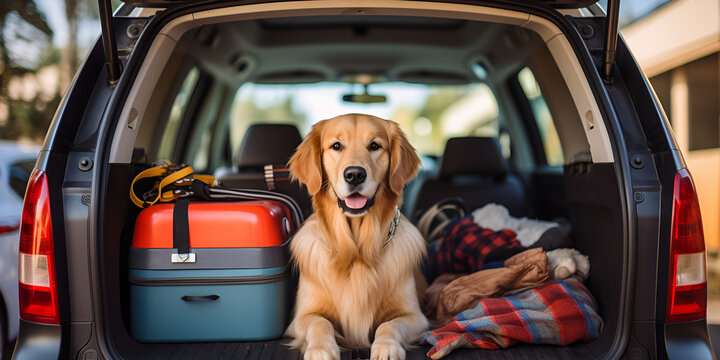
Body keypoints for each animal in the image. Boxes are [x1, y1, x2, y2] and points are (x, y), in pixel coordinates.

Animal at [286, 114, 428, 358]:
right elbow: (319, 322)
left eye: (375, 146)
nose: (354, 175)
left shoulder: (415, 317)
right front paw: (322, 349)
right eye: (336, 146)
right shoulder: (301, 317)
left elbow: (389, 324)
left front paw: (387, 347)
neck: (356, 252)